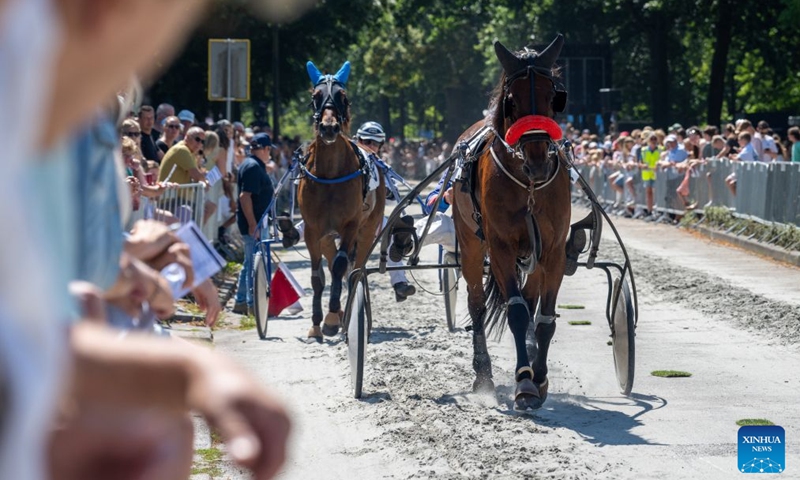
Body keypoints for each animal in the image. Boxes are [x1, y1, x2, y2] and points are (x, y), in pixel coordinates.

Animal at [297, 61, 386, 342]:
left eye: (342, 97)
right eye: (316, 97)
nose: (328, 128)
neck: (330, 175)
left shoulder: (350, 226)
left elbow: (339, 267)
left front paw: (331, 318)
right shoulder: (313, 230)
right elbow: (318, 276)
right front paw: (317, 324)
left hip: (368, 229)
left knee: (354, 267)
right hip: (327, 235)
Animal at [452, 34, 573, 410]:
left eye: (553, 96)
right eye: (512, 100)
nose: (537, 160)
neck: (528, 183)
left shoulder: (552, 250)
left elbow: (544, 318)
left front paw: (540, 377)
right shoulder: (501, 247)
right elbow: (516, 313)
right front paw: (525, 382)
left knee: (529, 299)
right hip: (471, 244)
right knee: (477, 304)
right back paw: (484, 374)